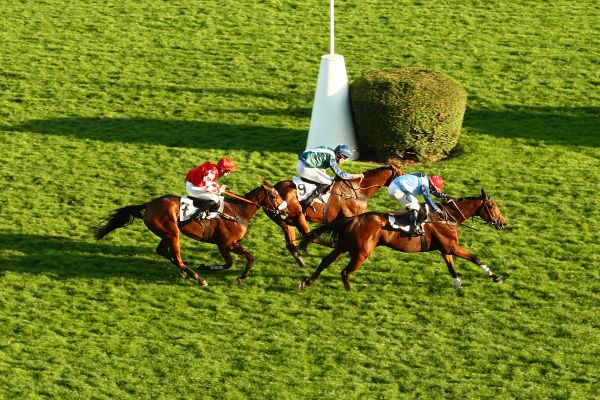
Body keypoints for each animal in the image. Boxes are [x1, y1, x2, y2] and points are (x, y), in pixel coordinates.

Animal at [94, 180, 288, 286]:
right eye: (274, 195)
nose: (286, 212)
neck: (238, 212)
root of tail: (149, 205)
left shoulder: (229, 244)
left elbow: (243, 259)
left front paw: (239, 276)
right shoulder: (226, 244)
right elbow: (234, 261)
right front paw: (222, 271)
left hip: (167, 234)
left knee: (163, 252)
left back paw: (186, 271)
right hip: (172, 233)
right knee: (176, 257)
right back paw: (198, 277)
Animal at [264, 159, 400, 266]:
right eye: (400, 174)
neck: (358, 191)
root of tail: (271, 190)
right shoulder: (350, 219)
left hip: (286, 221)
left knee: (291, 243)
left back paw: (303, 264)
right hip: (298, 216)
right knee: (309, 236)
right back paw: (330, 245)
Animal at [298, 188, 506, 290]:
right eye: (492, 206)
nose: (503, 223)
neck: (447, 217)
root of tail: (354, 218)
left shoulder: (445, 249)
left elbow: (452, 269)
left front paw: (459, 287)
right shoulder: (451, 247)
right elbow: (476, 258)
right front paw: (495, 277)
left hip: (345, 245)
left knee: (326, 261)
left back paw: (307, 283)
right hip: (361, 253)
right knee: (344, 272)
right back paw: (350, 292)